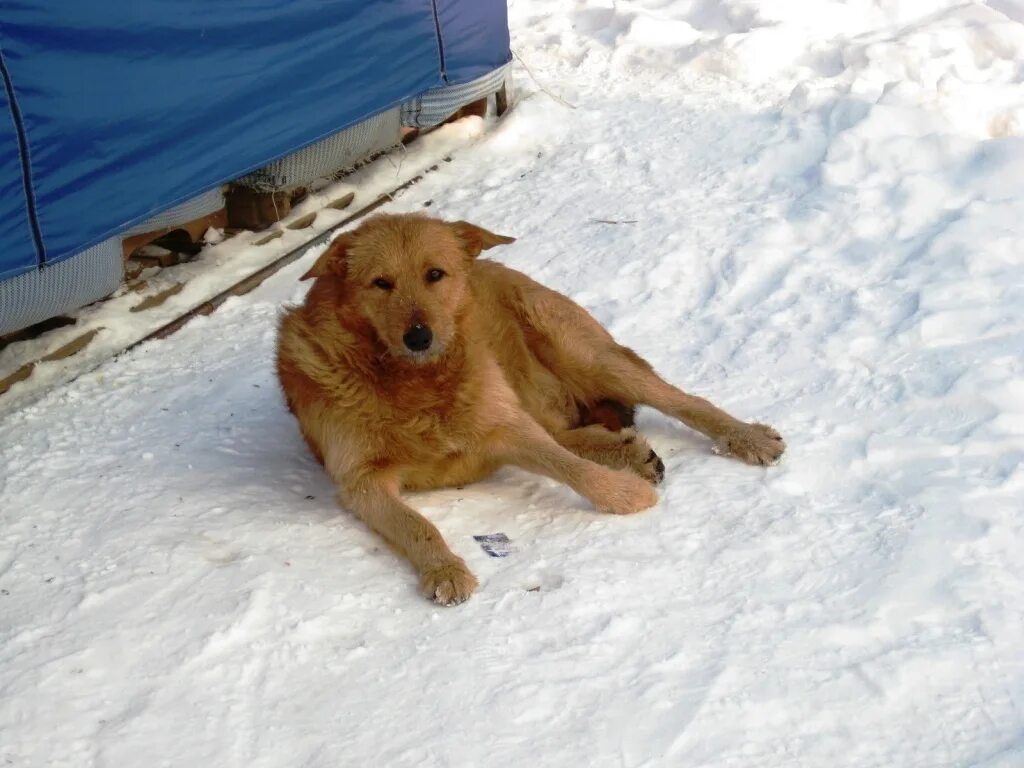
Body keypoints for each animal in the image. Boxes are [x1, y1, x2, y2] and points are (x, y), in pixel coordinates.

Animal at [274, 214, 782, 606]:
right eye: (380, 284)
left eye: (434, 274)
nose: (418, 337)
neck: (414, 383)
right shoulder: (362, 481)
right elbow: (415, 523)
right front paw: (444, 569)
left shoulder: (504, 426)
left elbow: (572, 468)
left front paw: (624, 496)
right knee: (566, 430)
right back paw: (627, 451)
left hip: (584, 354)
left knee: (680, 400)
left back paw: (745, 436)